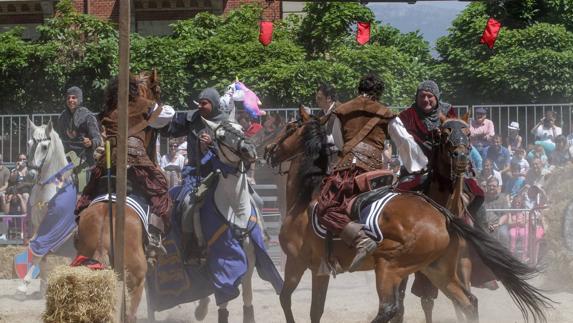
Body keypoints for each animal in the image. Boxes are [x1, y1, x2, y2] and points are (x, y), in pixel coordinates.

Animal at [264, 108, 548, 323]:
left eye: (288, 127)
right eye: (445, 133)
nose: (267, 149)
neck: (306, 197)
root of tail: (444, 215)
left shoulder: (296, 262)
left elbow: (285, 298)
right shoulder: (320, 270)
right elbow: (315, 311)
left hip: (389, 267)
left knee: (390, 309)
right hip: (436, 270)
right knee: (466, 302)